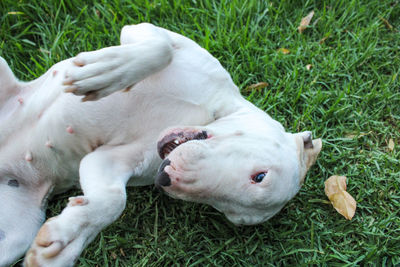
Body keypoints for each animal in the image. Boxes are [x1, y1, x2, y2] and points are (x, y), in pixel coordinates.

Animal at [0, 23, 322, 267]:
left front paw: (66, 238)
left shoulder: (112, 161)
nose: (165, 179)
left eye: (230, 213)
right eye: (259, 176)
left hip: (18, 233)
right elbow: (160, 48)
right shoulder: (151, 32)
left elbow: (113, 201)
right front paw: (106, 71)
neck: (206, 112)